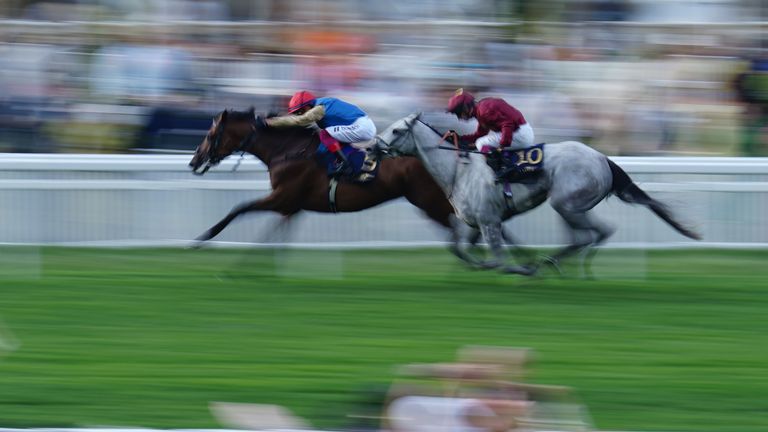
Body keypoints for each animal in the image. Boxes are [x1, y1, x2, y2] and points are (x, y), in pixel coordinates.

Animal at [189, 108, 472, 258]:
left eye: (211, 135)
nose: (194, 161)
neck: (287, 150)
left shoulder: (282, 197)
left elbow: (239, 209)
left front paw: (203, 237)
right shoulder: (291, 207)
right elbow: (274, 236)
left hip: (429, 200)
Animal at [378, 111, 704, 274]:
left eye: (396, 131)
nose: (373, 146)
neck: (459, 169)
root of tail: (603, 159)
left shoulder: (489, 221)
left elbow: (498, 260)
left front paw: (521, 266)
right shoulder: (479, 221)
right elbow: (462, 248)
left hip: (566, 203)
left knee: (590, 234)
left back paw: (550, 263)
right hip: (574, 206)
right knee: (596, 233)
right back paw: (564, 263)